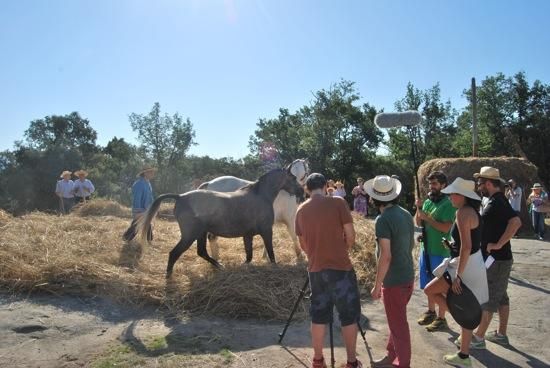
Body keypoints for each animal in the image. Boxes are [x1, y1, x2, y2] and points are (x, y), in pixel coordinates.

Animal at [126, 168, 302, 278]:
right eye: (293, 178)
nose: (301, 192)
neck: (261, 196)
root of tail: (181, 196)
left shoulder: (248, 235)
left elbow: (249, 256)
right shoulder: (266, 231)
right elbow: (271, 253)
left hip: (200, 234)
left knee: (202, 252)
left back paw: (219, 266)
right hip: (190, 235)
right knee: (174, 253)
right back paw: (169, 277)